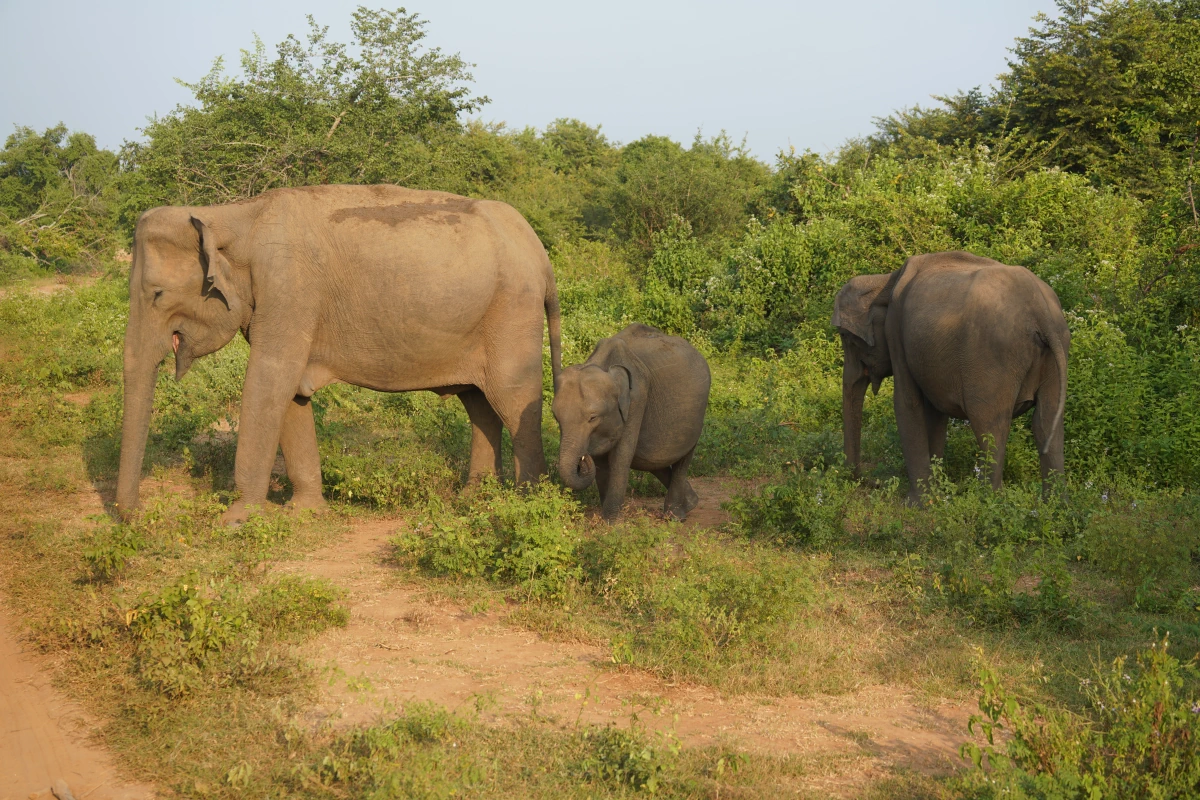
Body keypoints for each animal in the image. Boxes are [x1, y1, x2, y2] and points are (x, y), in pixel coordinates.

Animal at [117, 185, 561, 525]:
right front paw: (305, 514)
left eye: (157, 294)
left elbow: (269, 380)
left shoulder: (288, 289)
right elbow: (291, 393)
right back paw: (474, 500)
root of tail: (540, 253)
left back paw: (529, 505)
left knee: (513, 400)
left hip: (512, 312)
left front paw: (235, 522)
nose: (137, 516)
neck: (234, 214)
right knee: (480, 404)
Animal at [554, 321, 710, 522]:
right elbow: (602, 462)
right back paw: (690, 503)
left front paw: (610, 522)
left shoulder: (637, 399)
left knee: (683, 459)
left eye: (593, 418)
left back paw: (675, 516)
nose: (583, 457)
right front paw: (606, 519)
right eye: (556, 417)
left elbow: (620, 458)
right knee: (649, 458)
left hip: (697, 414)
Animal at [830, 251, 1075, 501]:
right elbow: (935, 414)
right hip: (1057, 348)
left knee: (990, 425)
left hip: (993, 358)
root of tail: (1040, 311)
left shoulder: (896, 331)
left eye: (845, 336)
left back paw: (989, 501)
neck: (884, 280)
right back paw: (1054, 504)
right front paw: (937, 495)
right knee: (1046, 423)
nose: (874, 483)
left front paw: (918, 503)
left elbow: (907, 403)